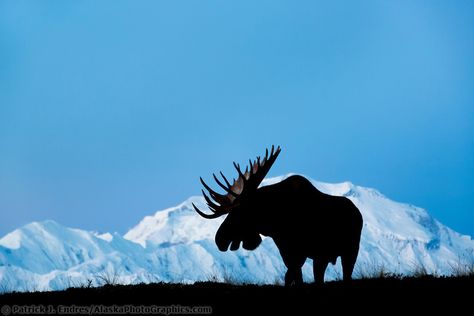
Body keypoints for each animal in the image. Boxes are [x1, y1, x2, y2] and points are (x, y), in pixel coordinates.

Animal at [193, 147, 362, 286]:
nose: (219, 239)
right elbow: (294, 278)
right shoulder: (288, 252)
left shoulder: (302, 253)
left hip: (349, 251)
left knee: (345, 275)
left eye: (240, 212)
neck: (274, 222)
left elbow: (292, 277)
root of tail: (358, 213)